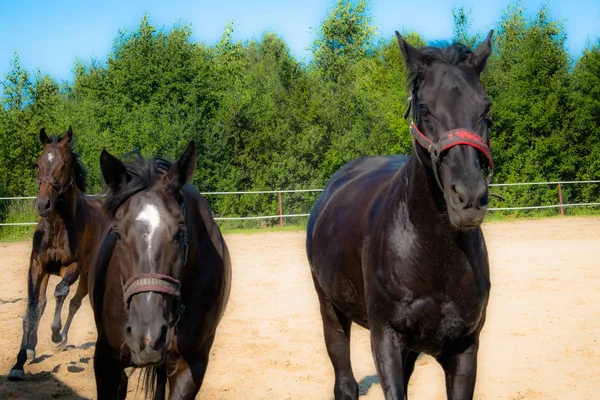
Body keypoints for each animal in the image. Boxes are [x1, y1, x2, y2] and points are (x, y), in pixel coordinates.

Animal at [7, 127, 108, 382]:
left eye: (64, 165)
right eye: (38, 162)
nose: (43, 204)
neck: (56, 226)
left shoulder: (73, 267)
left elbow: (60, 293)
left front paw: (55, 334)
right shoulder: (37, 267)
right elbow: (33, 308)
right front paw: (20, 362)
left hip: (88, 274)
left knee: (76, 302)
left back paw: (62, 338)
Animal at [308, 29, 494, 398]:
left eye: (485, 107)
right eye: (424, 108)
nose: (468, 197)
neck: (433, 255)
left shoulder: (464, 349)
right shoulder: (386, 340)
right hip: (330, 308)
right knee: (345, 382)